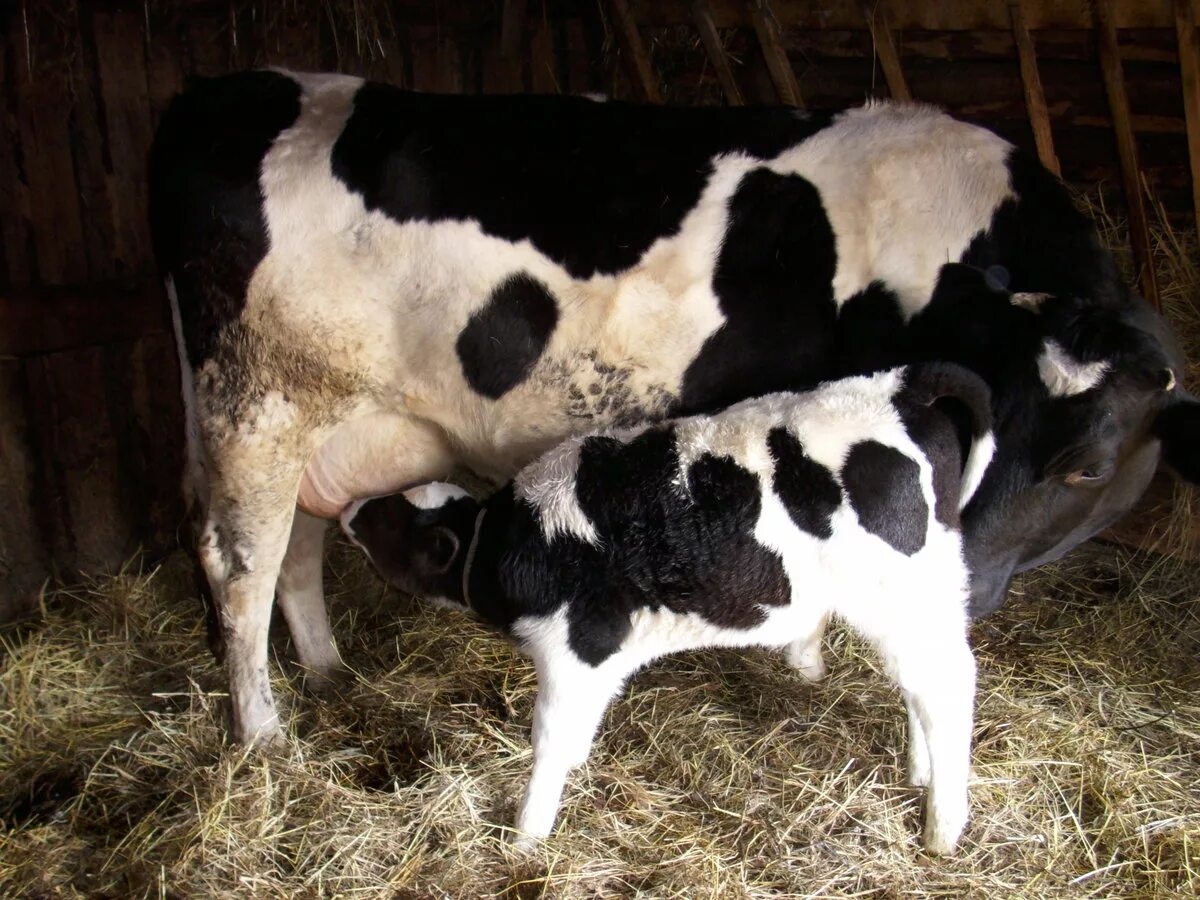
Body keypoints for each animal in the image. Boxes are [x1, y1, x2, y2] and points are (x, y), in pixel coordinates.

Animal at [150, 70, 1200, 748]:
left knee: (296, 551)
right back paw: (262, 737)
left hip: (313, 429)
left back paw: (330, 675)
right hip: (256, 406)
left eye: (1086, 466)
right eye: (988, 427)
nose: (956, 582)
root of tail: (231, 90)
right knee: (239, 570)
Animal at [340, 362, 993, 854]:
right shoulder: (602, 661)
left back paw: (943, 825)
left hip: (903, 592)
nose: (347, 508)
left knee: (949, 685)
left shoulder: (578, 650)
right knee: (922, 688)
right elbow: (577, 738)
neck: (520, 544)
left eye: (387, 520)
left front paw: (527, 837)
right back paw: (922, 773)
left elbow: (550, 743)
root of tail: (897, 384)